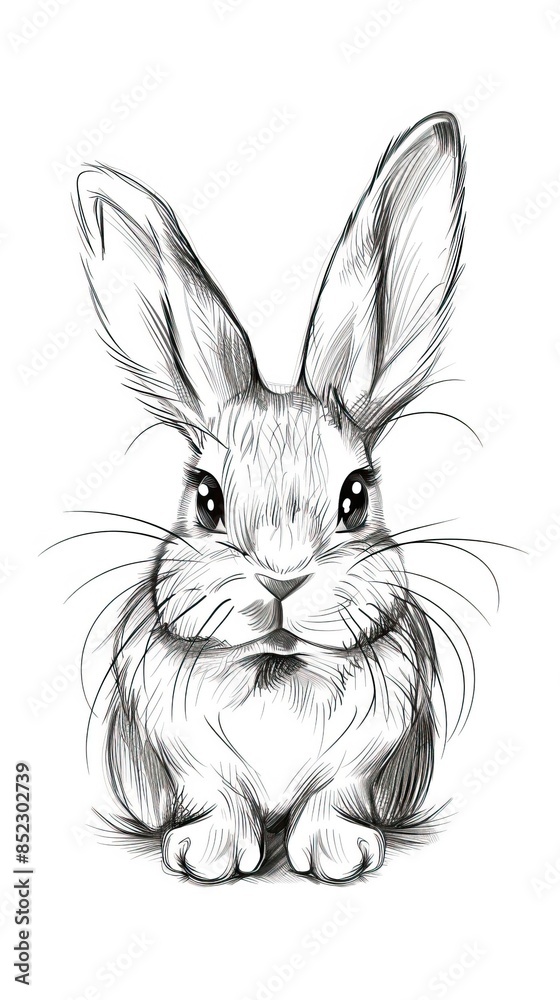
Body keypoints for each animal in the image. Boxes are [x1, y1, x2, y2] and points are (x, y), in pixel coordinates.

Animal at [74, 110, 465, 883]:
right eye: (206, 499)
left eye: (355, 497)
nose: (281, 580)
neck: (276, 668)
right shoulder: (187, 758)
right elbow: (217, 797)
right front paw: (209, 855)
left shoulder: (363, 759)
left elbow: (332, 797)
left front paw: (339, 855)